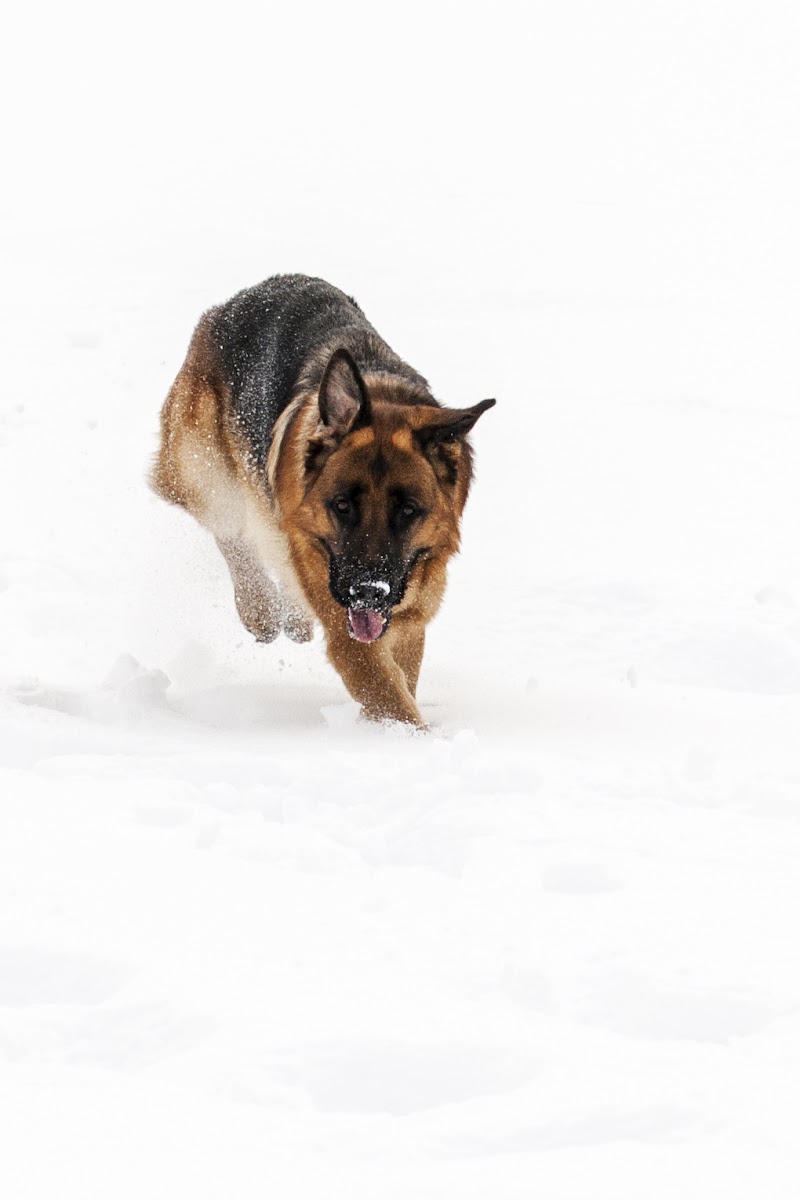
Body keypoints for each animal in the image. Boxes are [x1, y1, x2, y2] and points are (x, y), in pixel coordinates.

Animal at [149, 276, 494, 724]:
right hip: (204, 473)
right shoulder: (348, 634)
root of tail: (236, 301)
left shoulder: (410, 616)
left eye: (408, 510)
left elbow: (402, 680)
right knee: (233, 534)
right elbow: (390, 696)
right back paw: (259, 608)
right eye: (342, 505)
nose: (368, 591)